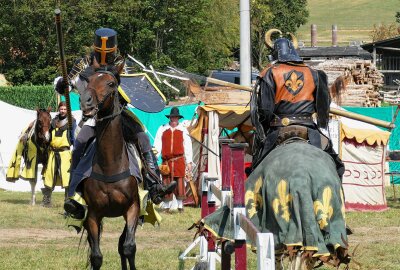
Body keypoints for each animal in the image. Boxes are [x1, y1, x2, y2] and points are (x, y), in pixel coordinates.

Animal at [78, 59, 141, 270]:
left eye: (111, 84)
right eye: (88, 81)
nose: (86, 101)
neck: (110, 165)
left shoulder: (133, 208)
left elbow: (129, 247)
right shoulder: (93, 215)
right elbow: (96, 256)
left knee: (123, 245)